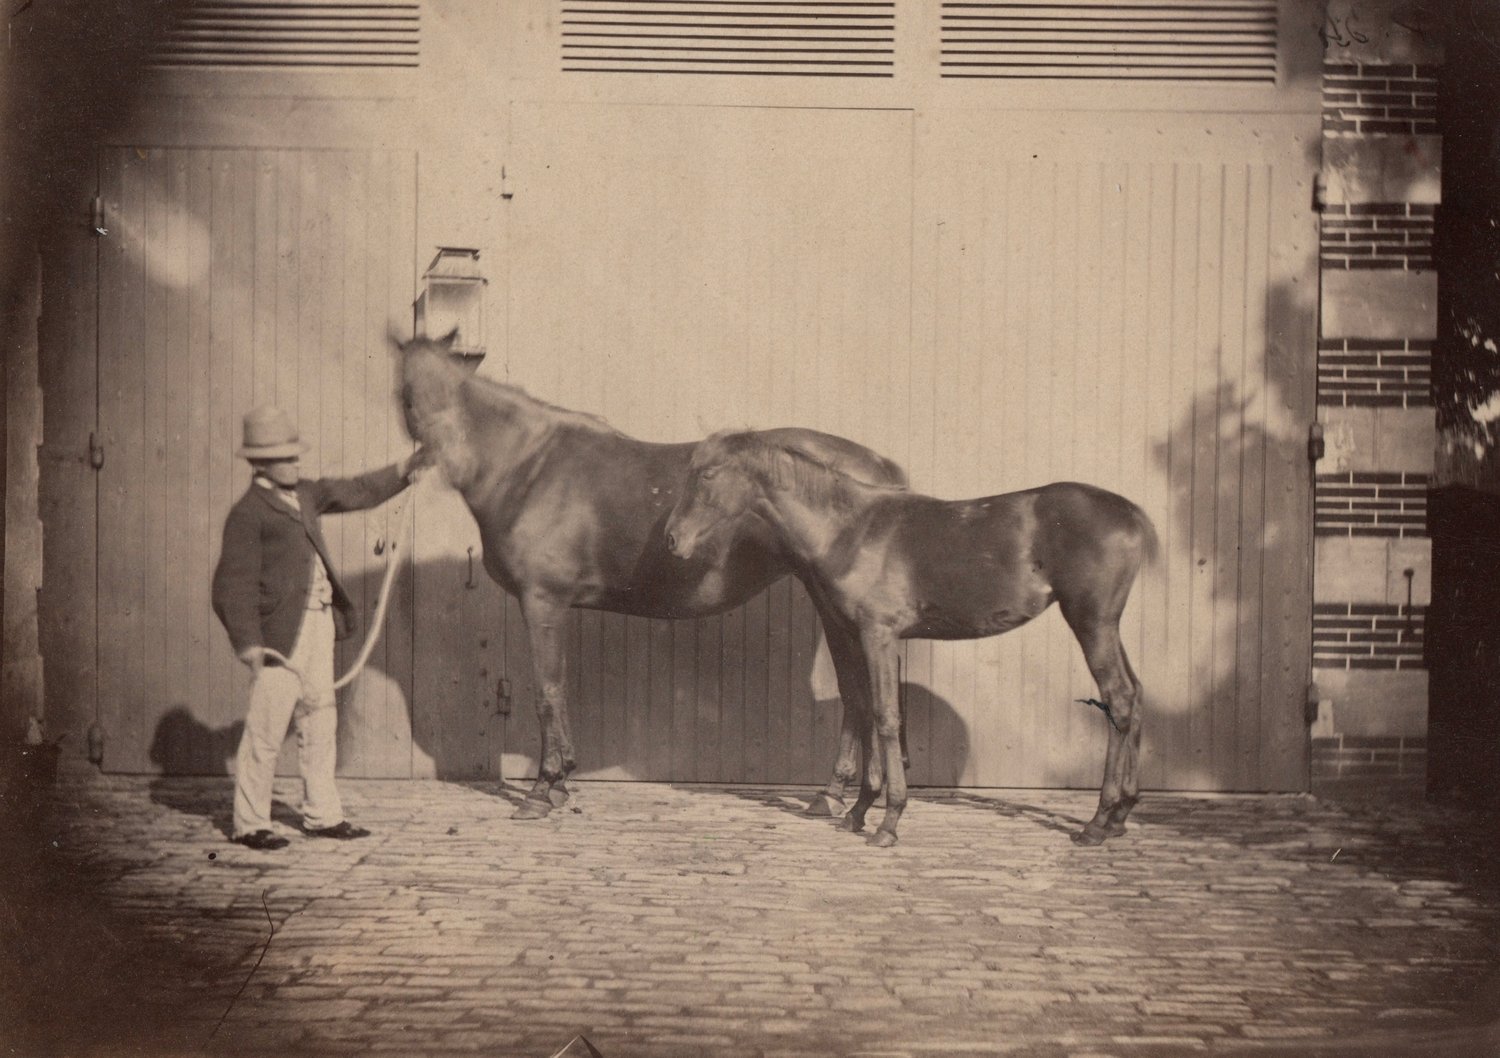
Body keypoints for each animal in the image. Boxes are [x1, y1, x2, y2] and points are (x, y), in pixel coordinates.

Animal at [395, 331, 909, 819]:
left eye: (422, 389)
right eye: (407, 389)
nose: (439, 462)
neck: (529, 467)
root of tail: (878, 467)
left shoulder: (541, 599)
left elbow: (547, 691)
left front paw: (542, 790)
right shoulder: (554, 606)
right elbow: (560, 690)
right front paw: (562, 782)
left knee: (857, 694)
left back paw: (838, 795)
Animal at [663, 430, 1158, 848]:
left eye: (707, 475)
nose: (672, 540)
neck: (850, 530)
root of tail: (1131, 513)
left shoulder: (879, 635)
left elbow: (885, 716)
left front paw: (888, 821)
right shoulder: (853, 635)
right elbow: (861, 708)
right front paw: (858, 810)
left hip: (1090, 621)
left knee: (1118, 699)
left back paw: (1097, 822)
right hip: (1106, 625)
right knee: (1134, 694)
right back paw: (1119, 816)